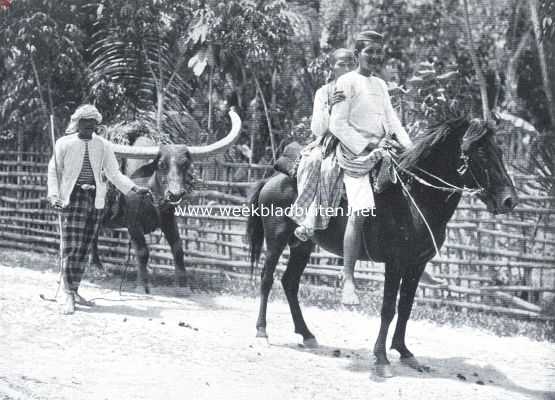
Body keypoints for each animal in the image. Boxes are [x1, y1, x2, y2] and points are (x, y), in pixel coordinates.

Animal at [90, 108, 241, 292]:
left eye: (185, 164)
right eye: (161, 165)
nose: (175, 194)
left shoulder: (168, 218)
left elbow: (178, 248)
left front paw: (183, 286)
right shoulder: (133, 223)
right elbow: (143, 251)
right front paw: (142, 285)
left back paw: (98, 268)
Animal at [248, 116, 516, 378]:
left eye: (500, 151)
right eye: (480, 153)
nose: (509, 201)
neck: (414, 200)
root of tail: (271, 179)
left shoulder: (417, 265)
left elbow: (405, 307)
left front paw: (404, 351)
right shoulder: (395, 264)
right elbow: (388, 309)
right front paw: (381, 359)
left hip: (302, 245)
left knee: (290, 283)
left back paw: (307, 334)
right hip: (276, 241)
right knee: (267, 278)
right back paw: (261, 331)